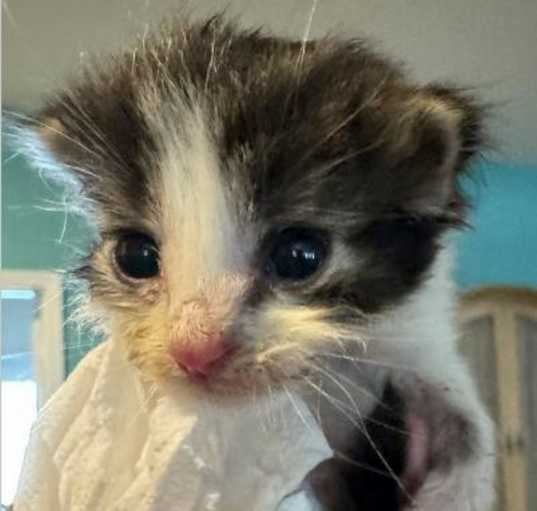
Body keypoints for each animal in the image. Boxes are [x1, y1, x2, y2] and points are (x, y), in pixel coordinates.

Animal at [16, 16, 494, 511]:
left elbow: (469, 429)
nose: (194, 350)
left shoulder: (422, 349)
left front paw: (453, 489)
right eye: (136, 256)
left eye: (299, 256)